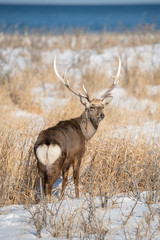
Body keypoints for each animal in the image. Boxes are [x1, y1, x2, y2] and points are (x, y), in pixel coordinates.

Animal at [34, 55, 121, 200]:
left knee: (43, 183)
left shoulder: (67, 161)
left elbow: (65, 180)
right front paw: (77, 197)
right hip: (55, 163)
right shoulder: (78, 154)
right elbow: (76, 178)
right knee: (48, 185)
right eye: (91, 106)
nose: (101, 115)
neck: (85, 134)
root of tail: (47, 143)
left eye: (102, 106)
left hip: (40, 164)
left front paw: (62, 198)